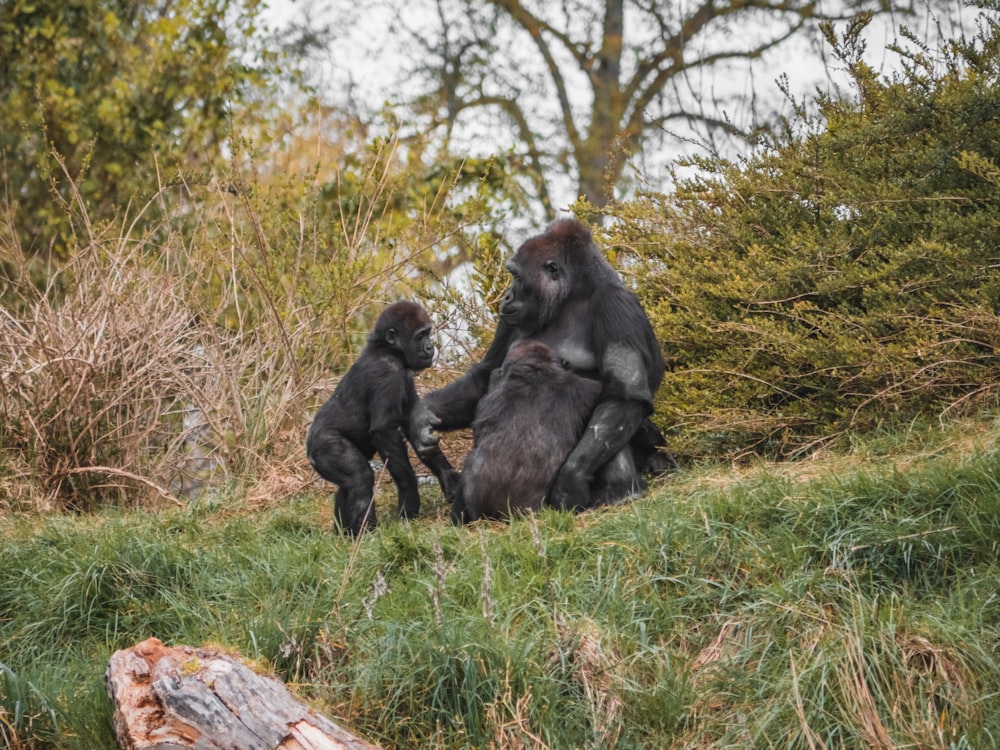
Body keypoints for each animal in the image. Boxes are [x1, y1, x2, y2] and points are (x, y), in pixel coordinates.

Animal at [306, 302, 458, 536]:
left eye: (428, 333)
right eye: (420, 336)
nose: (430, 348)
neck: (386, 349)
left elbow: (414, 424)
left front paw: (447, 476)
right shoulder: (387, 373)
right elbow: (384, 431)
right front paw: (409, 497)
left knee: (346, 486)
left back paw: (344, 535)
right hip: (323, 447)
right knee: (359, 479)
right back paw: (364, 534)